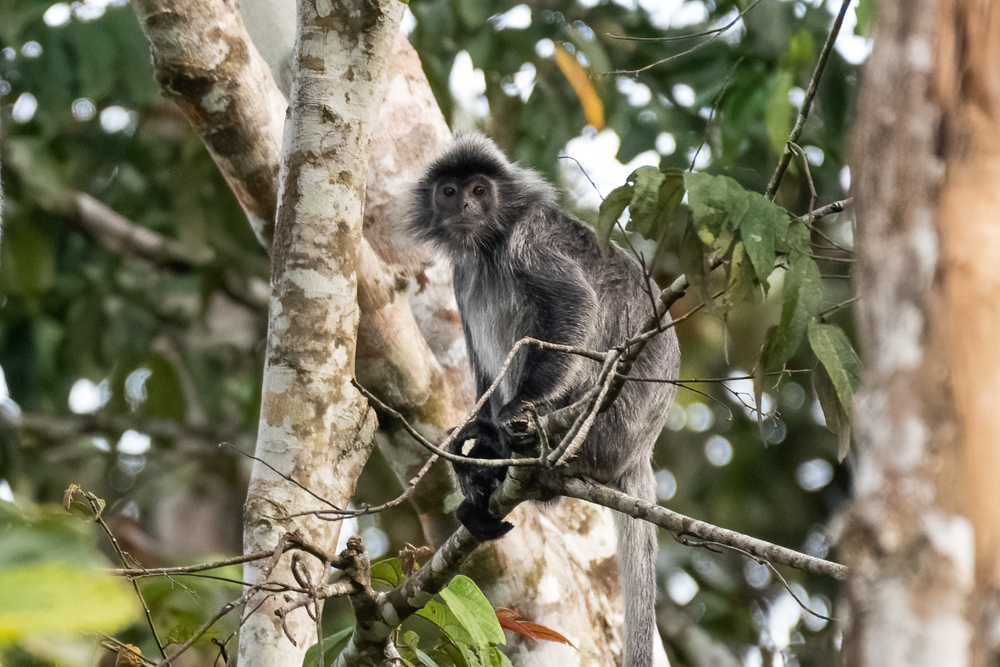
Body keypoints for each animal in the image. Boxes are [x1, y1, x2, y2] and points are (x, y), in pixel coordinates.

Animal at [406, 132, 680, 667]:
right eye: (449, 191)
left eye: (479, 189)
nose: (464, 204)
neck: (489, 247)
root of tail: (639, 451)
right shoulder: (462, 277)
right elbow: (483, 371)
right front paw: (473, 448)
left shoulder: (529, 239)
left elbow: (576, 307)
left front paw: (502, 425)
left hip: (599, 427)